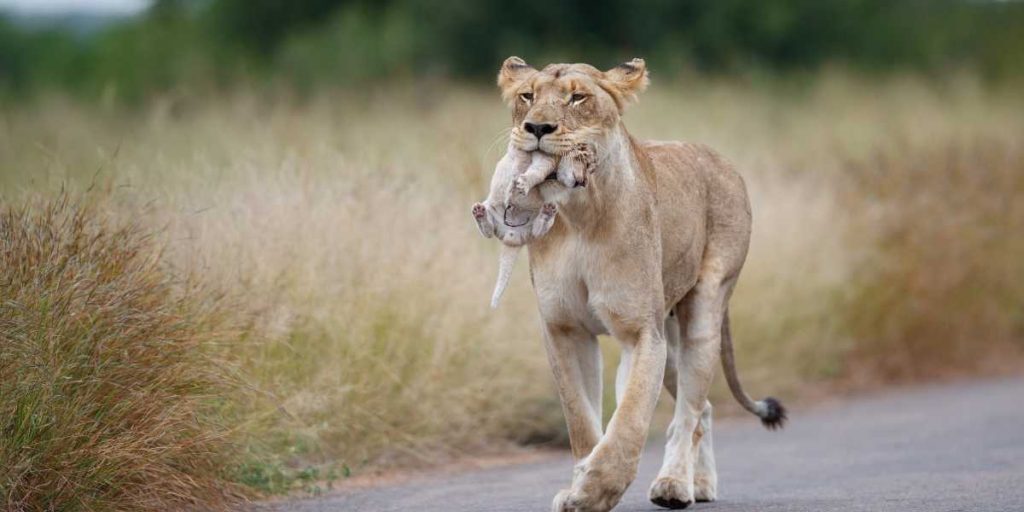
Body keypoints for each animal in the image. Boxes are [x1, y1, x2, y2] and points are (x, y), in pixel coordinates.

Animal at [492, 56, 786, 512]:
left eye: (578, 98)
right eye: (527, 95)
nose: (537, 127)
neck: (579, 217)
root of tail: (717, 157)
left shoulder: (640, 333)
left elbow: (628, 419)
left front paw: (597, 490)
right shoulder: (565, 330)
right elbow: (582, 421)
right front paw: (579, 486)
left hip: (702, 316)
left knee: (689, 413)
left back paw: (676, 485)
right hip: (671, 340)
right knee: (704, 408)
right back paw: (701, 483)